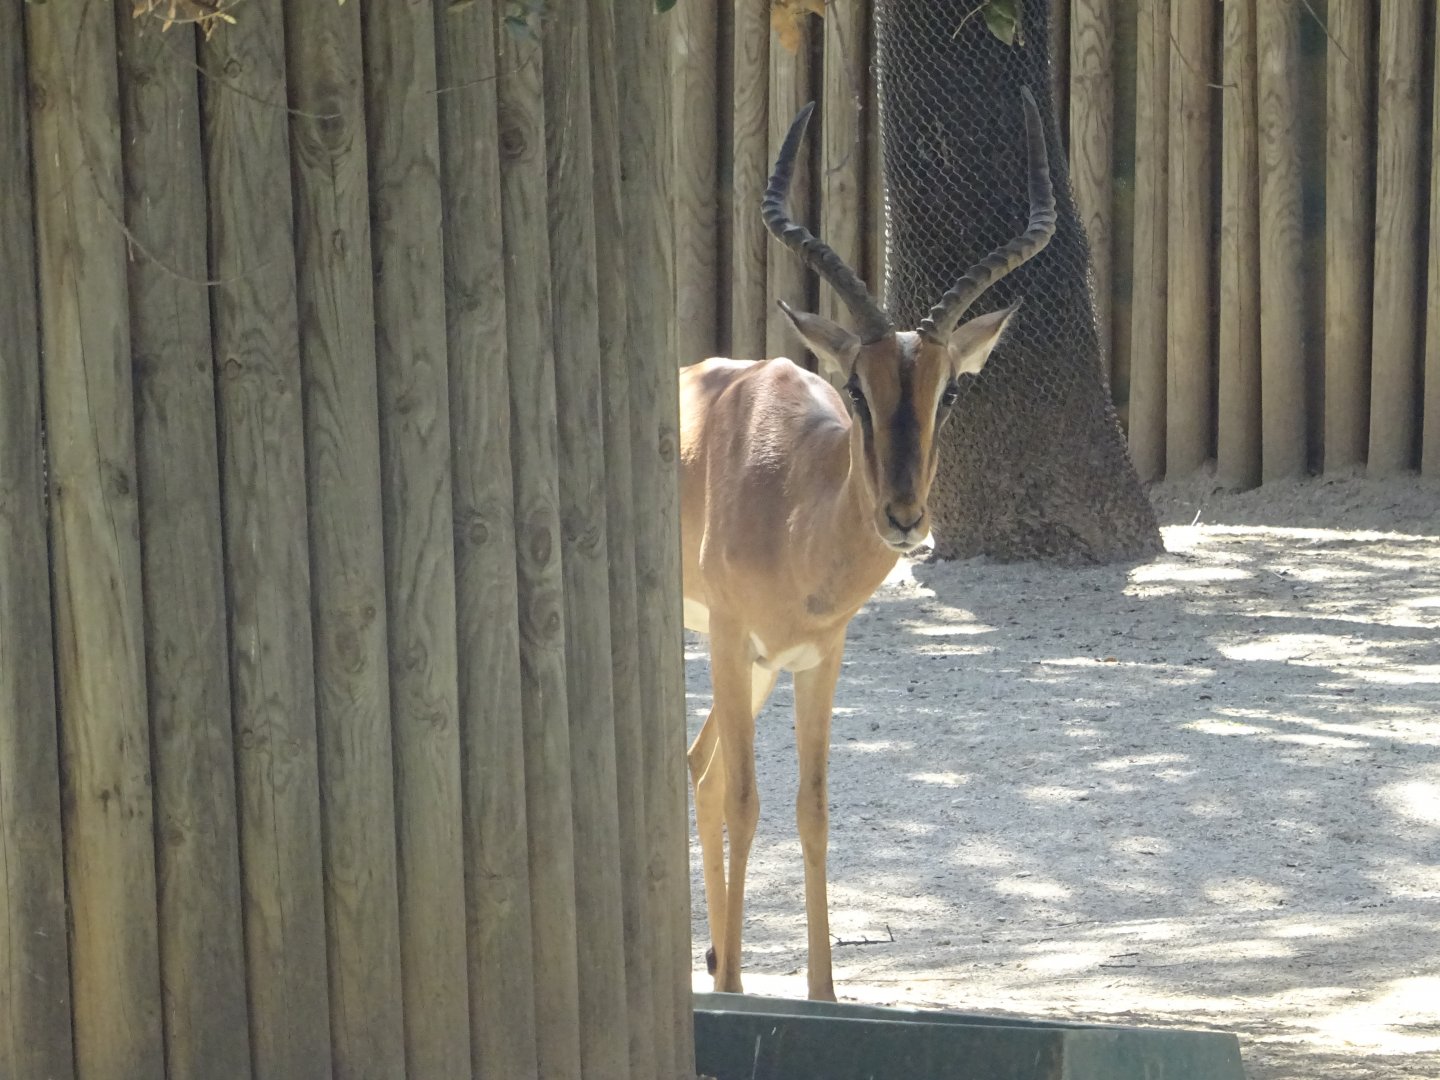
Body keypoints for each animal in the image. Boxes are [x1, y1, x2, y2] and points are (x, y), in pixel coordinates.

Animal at [679, 89, 1056, 1001]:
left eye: (948, 391)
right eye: (856, 386)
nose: (904, 516)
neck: (791, 498)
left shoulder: (818, 655)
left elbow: (811, 809)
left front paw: (821, 996)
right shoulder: (732, 637)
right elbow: (748, 800)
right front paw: (742, 995)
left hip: (759, 669)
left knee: (700, 768)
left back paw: (718, 965)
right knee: (709, 777)